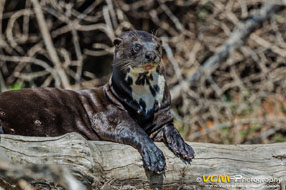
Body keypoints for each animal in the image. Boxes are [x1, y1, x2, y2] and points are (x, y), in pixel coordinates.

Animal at [0, 30, 194, 174]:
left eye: (158, 46)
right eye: (136, 46)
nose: (151, 54)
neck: (145, 104)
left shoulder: (161, 114)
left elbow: (169, 128)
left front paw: (183, 146)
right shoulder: (105, 115)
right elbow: (135, 130)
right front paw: (154, 155)